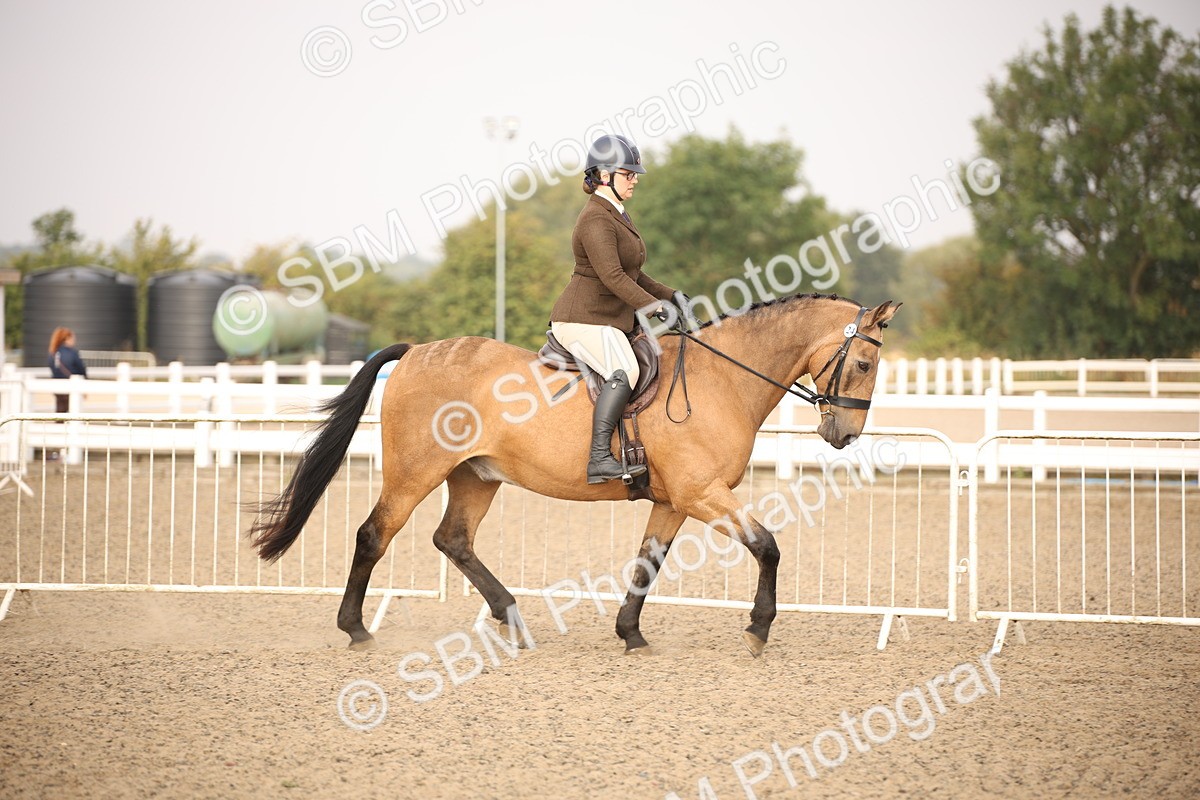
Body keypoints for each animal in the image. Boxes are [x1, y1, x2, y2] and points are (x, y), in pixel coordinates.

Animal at [251, 293, 899, 655]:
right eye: (865, 363)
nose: (844, 435)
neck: (722, 379)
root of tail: (415, 352)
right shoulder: (703, 493)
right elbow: (767, 546)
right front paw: (759, 630)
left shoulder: (675, 501)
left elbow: (647, 564)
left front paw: (630, 633)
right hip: (415, 473)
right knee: (374, 535)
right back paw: (356, 629)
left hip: (476, 477)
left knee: (452, 539)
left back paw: (512, 618)